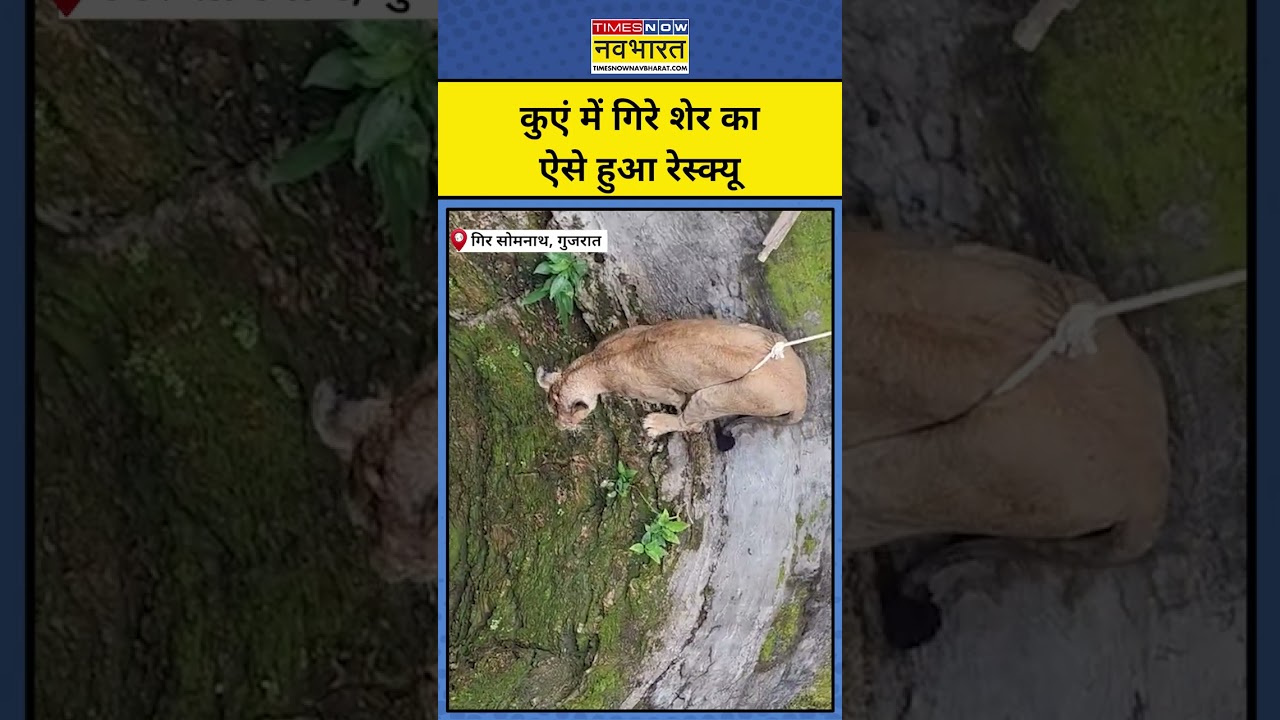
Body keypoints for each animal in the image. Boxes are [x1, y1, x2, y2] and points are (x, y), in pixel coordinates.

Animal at [535, 318, 808, 450]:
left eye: (567, 417)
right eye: (550, 410)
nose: (559, 426)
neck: (594, 363)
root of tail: (801, 396)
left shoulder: (663, 392)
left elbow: (678, 403)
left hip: (718, 396)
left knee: (693, 424)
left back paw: (655, 424)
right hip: (760, 333)